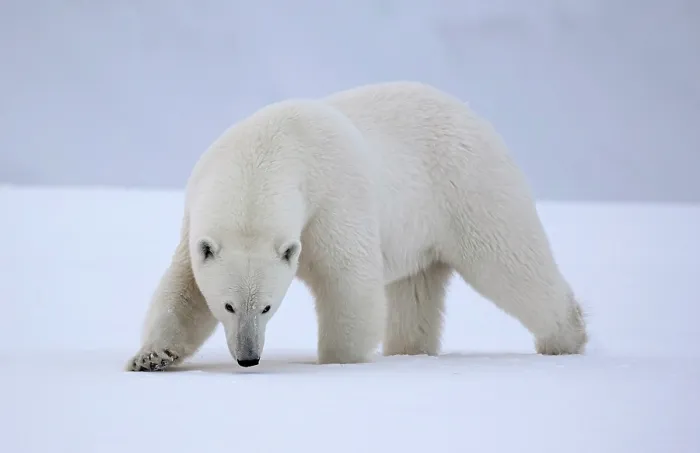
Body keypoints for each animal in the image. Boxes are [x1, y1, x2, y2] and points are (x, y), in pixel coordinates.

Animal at [125, 81, 588, 372]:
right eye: (228, 306)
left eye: (268, 307)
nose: (248, 358)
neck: (268, 151)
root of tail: (473, 114)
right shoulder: (197, 221)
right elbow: (183, 290)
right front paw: (149, 358)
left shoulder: (331, 200)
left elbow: (347, 280)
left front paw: (339, 362)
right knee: (415, 293)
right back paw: (409, 352)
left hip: (468, 188)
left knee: (509, 260)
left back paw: (566, 337)